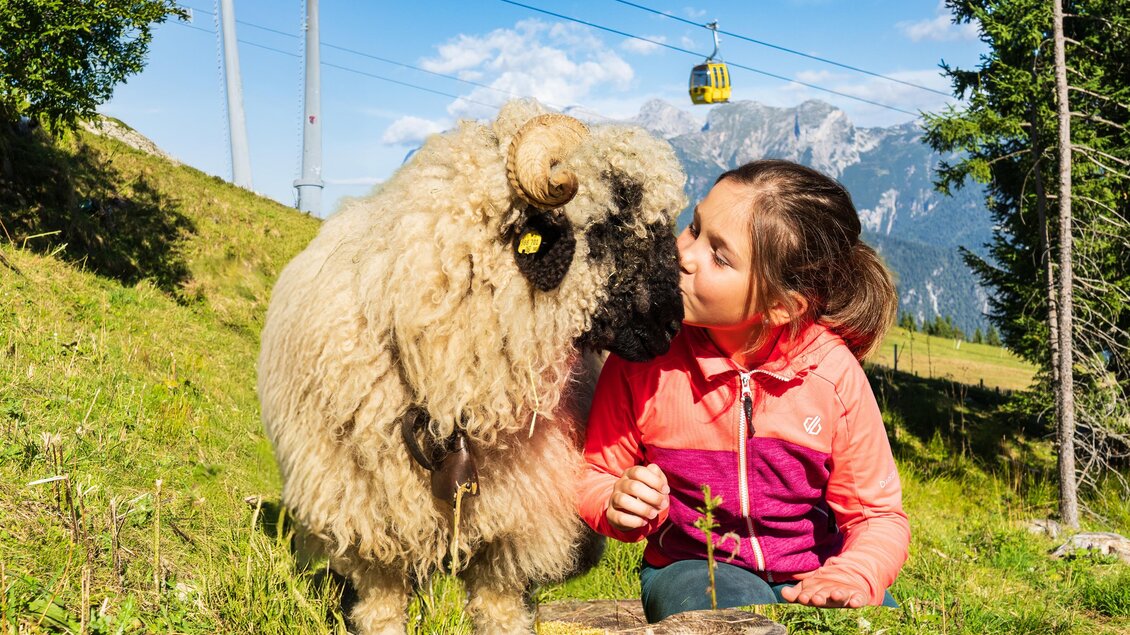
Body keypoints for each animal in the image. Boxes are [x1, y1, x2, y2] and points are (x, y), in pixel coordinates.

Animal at [257, 99, 686, 634]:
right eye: (609, 226)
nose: (674, 325)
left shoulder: (511, 528)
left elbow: (499, 610)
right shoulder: (366, 523)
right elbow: (382, 609)